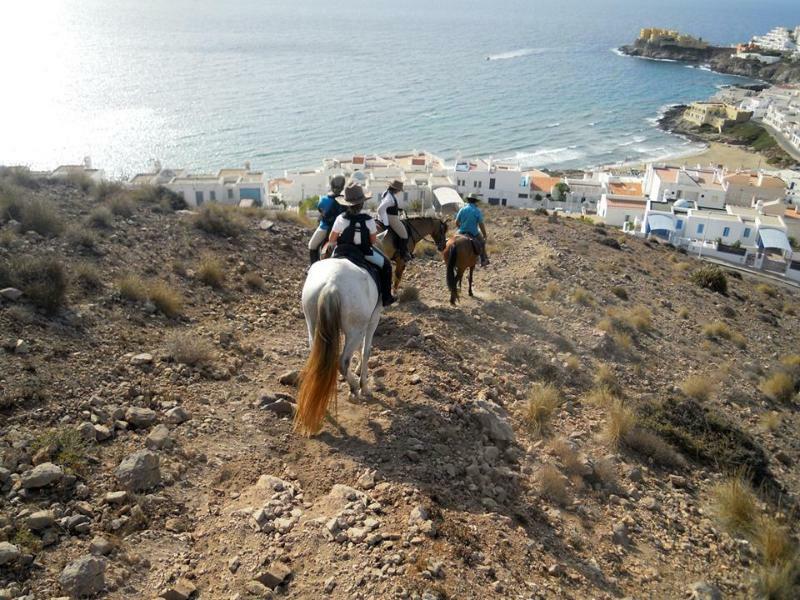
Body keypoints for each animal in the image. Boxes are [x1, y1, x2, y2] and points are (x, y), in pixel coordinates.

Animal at [294, 258, 382, 436]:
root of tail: (331, 285)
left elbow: (361, 349)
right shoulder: (373, 319)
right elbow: (366, 350)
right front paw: (364, 386)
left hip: (312, 325)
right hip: (355, 330)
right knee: (342, 362)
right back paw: (354, 389)